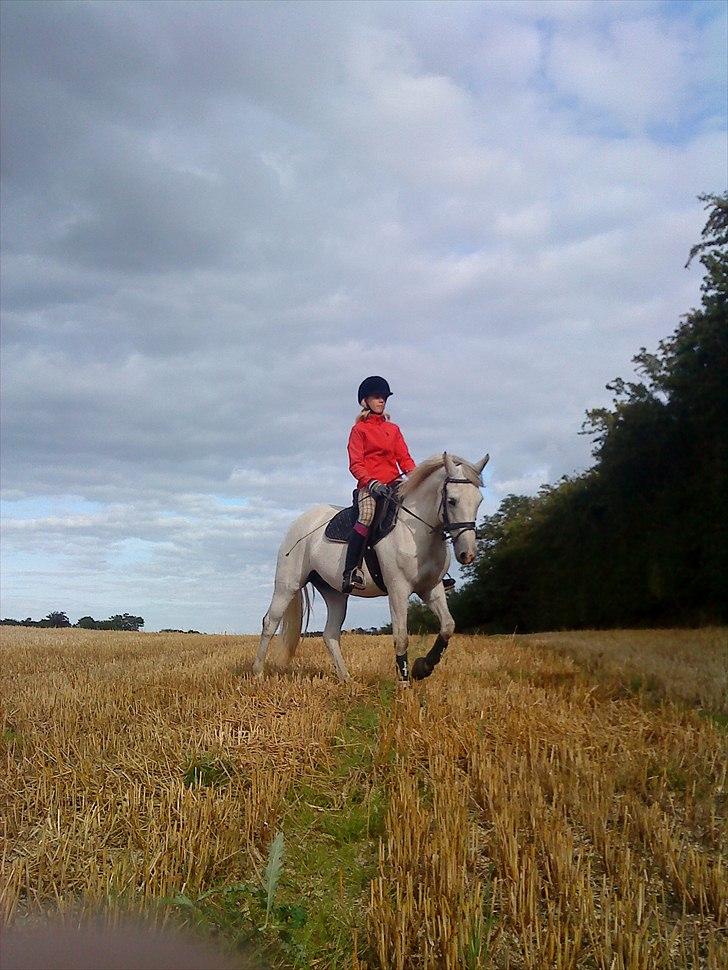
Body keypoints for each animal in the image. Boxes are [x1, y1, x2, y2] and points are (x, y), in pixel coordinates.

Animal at [252, 452, 490, 680]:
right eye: (452, 500)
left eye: (479, 500)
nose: (467, 554)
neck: (416, 532)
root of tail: (300, 522)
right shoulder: (398, 590)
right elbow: (401, 637)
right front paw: (404, 684)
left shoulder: (431, 588)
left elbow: (448, 626)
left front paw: (423, 668)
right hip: (288, 585)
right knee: (270, 622)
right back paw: (257, 673)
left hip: (335, 593)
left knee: (330, 634)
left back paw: (347, 679)